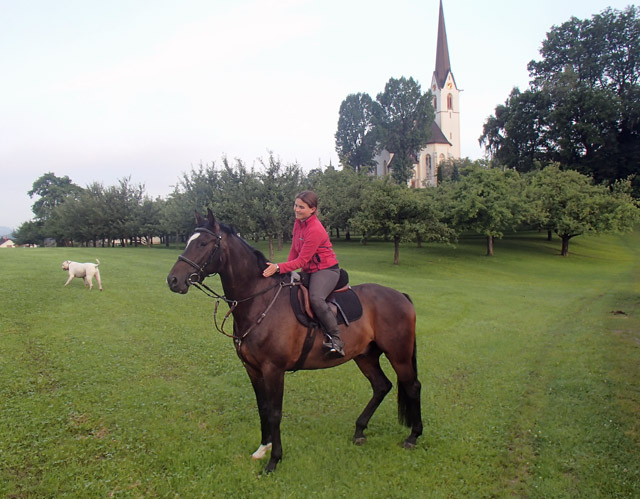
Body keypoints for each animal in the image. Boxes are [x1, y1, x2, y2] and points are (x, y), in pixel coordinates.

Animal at [168, 210, 422, 472]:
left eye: (203, 243)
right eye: (188, 240)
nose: (173, 280)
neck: (260, 300)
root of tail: (401, 296)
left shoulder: (274, 369)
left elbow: (275, 413)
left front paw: (274, 460)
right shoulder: (252, 368)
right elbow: (263, 408)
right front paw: (263, 448)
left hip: (399, 355)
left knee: (412, 386)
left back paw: (413, 436)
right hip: (365, 356)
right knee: (381, 386)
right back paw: (360, 430)